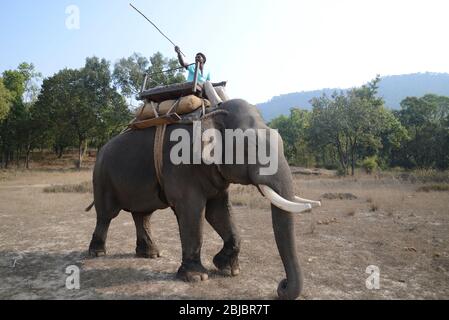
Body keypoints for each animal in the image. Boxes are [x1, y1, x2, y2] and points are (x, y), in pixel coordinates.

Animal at [87, 98, 318, 300]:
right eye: (249, 146)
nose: (282, 286)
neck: (212, 112)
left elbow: (218, 212)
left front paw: (228, 269)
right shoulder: (181, 166)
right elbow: (192, 212)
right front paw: (197, 277)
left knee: (142, 214)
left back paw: (150, 254)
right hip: (102, 176)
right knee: (106, 214)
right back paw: (97, 253)